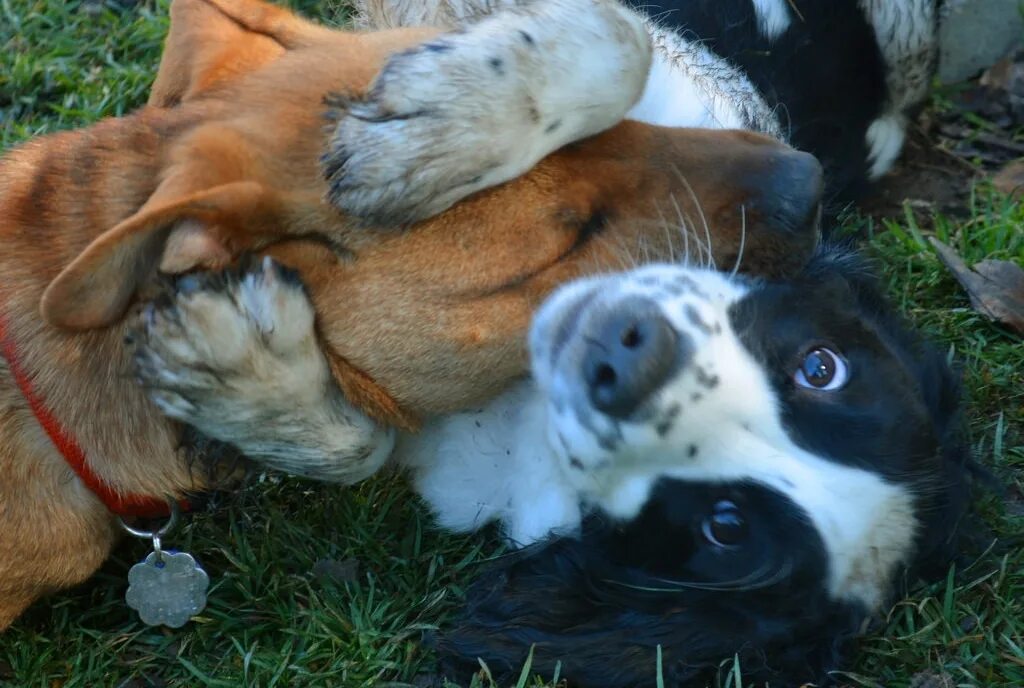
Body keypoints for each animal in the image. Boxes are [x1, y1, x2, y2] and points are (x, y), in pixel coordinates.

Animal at [130, 2, 974, 683]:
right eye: (819, 367)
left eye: (725, 526)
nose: (635, 356)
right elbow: (619, 37)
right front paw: (425, 134)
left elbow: (360, 442)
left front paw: (234, 367)